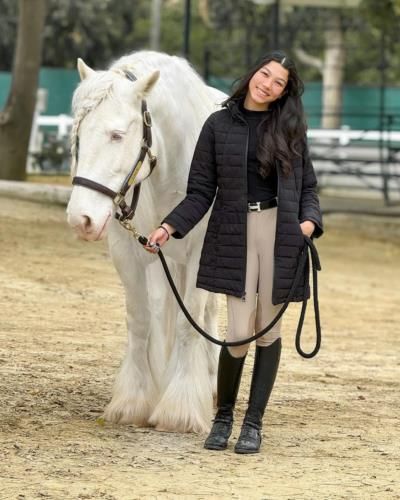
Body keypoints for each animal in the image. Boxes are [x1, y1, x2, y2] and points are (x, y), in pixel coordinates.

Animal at [67, 51, 227, 434]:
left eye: (117, 135)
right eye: (79, 134)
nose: (81, 218)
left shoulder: (200, 253)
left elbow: (188, 321)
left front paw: (180, 409)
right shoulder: (129, 253)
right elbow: (140, 320)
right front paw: (133, 402)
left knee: (207, 312)